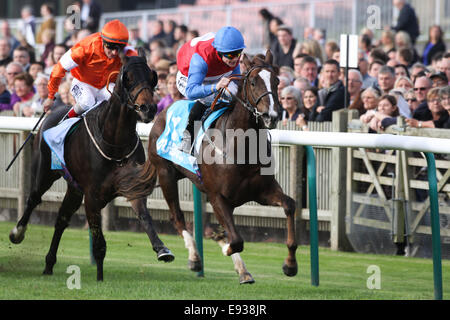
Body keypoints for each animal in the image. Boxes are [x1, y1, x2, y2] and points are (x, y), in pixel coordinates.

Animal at [9, 49, 174, 280]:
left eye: (152, 77)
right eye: (128, 77)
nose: (148, 108)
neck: (114, 142)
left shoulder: (133, 186)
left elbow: (145, 217)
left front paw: (162, 249)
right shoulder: (92, 195)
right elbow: (99, 242)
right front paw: (100, 278)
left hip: (74, 188)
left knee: (61, 218)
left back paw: (49, 264)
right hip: (45, 172)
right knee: (34, 198)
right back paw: (17, 233)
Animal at [122, 51, 298, 284]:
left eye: (277, 81)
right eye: (253, 82)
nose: (273, 115)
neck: (241, 146)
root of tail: (162, 111)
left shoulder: (262, 191)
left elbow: (289, 205)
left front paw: (290, 265)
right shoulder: (217, 197)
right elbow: (236, 240)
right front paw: (223, 247)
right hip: (166, 174)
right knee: (177, 218)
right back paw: (195, 258)